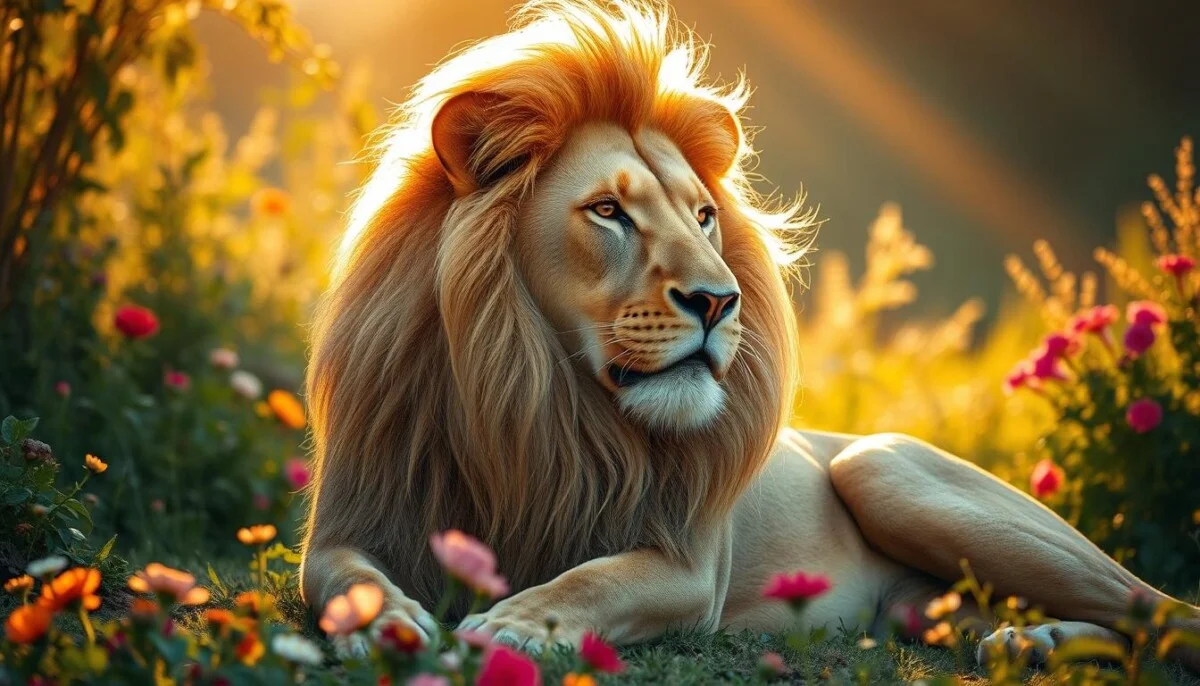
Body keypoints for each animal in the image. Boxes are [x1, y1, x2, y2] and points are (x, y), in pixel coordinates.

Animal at [300, 0, 1200, 669]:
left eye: (704, 215)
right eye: (608, 211)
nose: (719, 300)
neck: (534, 393)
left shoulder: (690, 567)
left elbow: (592, 580)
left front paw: (514, 625)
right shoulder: (348, 522)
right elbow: (339, 578)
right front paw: (391, 621)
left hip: (884, 469)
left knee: (1161, 609)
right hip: (926, 606)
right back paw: (1031, 642)